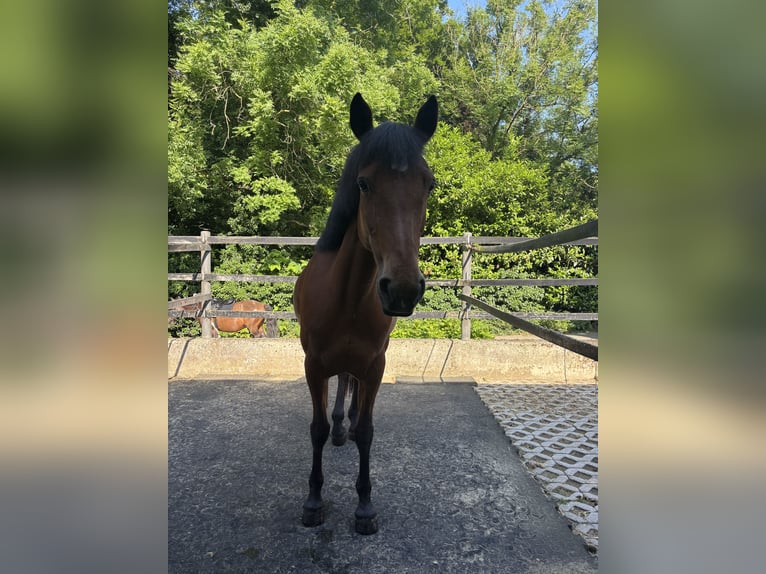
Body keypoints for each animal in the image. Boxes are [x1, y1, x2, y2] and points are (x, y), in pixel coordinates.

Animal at [293, 92, 437, 535]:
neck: (348, 297)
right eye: (363, 184)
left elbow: (369, 430)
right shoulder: (313, 365)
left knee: (352, 387)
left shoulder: (375, 365)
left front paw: (365, 507)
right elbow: (317, 429)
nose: (403, 289)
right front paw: (313, 501)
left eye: (429, 184)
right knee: (342, 387)